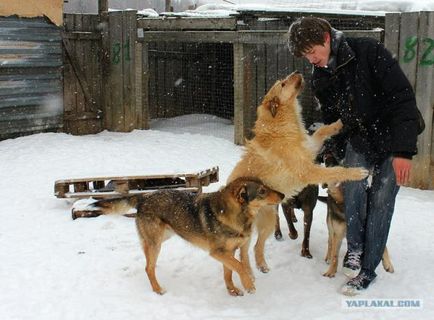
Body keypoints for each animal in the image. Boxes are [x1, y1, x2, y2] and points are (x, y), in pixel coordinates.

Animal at [71, 176, 284, 296]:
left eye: (266, 187)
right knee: (148, 267)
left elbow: (229, 272)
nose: (282, 195)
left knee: (148, 261)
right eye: (262, 192)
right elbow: (240, 266)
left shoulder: (228, 253)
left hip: (162, 238)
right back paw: (158, 290)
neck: (236, 215)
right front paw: (249, 285)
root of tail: (143, 197)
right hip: (156, 243)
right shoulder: (217, 252)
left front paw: (232, 291)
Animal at [229, 71, 368, 274]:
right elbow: (335, 171)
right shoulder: (308, 171)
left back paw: (262, 265)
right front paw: (357, 172)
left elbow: (323, 130)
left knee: (255, 246)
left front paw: (341, 121)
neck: (282, 125)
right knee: (242, 250)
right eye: (283, 84)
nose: (298, 72)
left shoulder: (311, 148)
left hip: (268, 221)